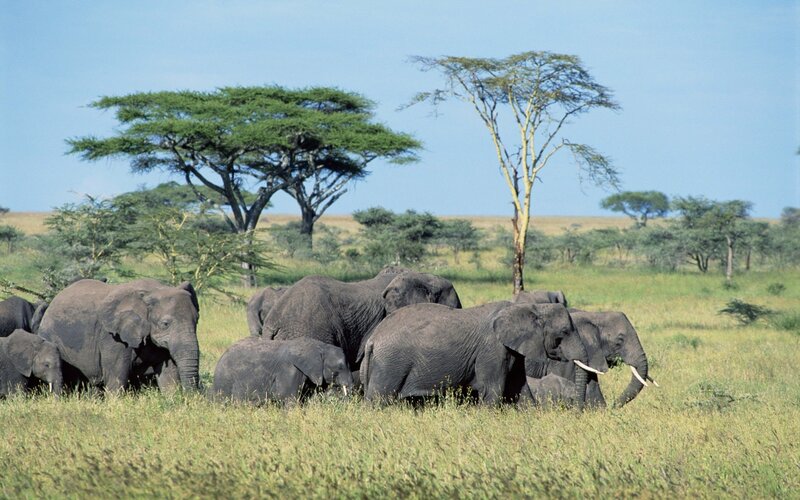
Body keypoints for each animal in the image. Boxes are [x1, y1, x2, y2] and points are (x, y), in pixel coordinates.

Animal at [38, 278, 201, 392]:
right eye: (165, 324)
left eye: (197, 320)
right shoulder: (112, 336)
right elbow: (117, 376)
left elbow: (169, 375)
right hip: (51, 336)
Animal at [361, 301, 605, 408]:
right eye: (563, 333)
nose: (577, 412)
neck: (529, 308)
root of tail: (374, 339)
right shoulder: (493, 349)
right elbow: (493, 390)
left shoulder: (512, 352)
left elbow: (519, 390)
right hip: (391, 363)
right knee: (379, 398)